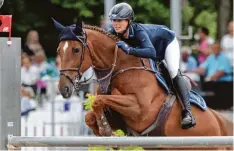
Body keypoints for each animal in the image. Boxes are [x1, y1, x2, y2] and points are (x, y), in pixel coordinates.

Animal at [53, 18, 234, 150]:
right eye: (58, 50)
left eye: (76, 50)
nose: (64, 88)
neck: (120, 68)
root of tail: (223, 123)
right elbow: (90, 116)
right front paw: (107, 133)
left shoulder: (139, 110)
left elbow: (98, 101)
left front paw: (105, 130)